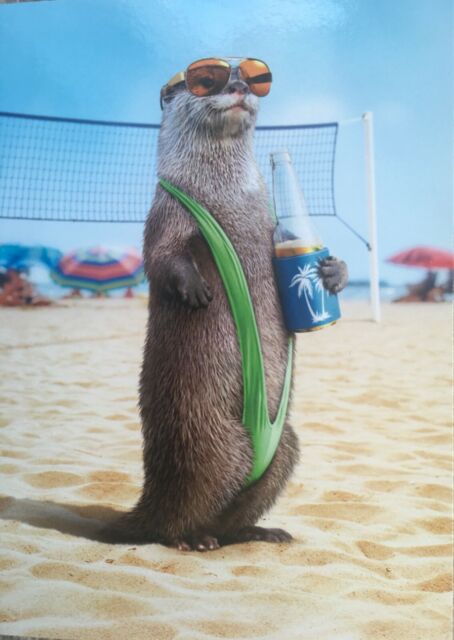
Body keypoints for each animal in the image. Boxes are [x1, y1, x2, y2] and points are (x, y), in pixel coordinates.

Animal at [103, 61, 348, 552]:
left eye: (253, 78)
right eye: (205, 79)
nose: (236, 85)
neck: (228, 197)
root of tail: (149, 497)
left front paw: (333, 273)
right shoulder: (166, 212)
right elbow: (161, 258)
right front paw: (194, 288)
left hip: (284, 445)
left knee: (237, 509)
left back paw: (258, 531)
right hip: (212, 444)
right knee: (177, 515)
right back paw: (190, 539)